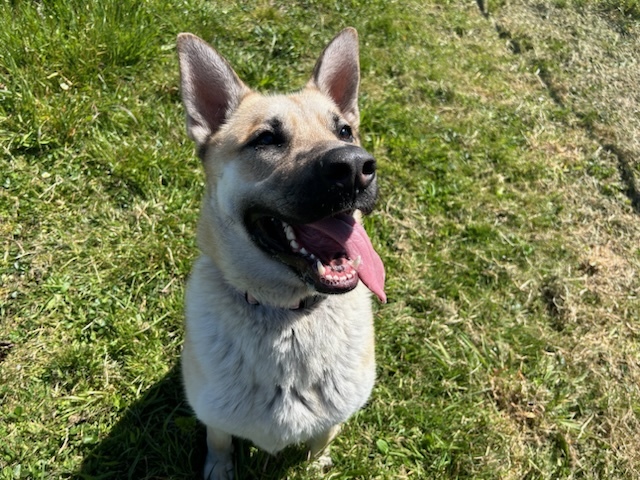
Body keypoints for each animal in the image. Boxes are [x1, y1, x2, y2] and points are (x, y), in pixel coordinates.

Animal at [176, 28, 384, 478]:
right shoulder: (215, 416)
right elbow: (219, 440)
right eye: (267, 139)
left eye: (345, 131)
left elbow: (322, 438)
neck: (288, 318)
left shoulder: (334, 417)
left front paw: (317, 464)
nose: (355, 167)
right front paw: (219, 469)